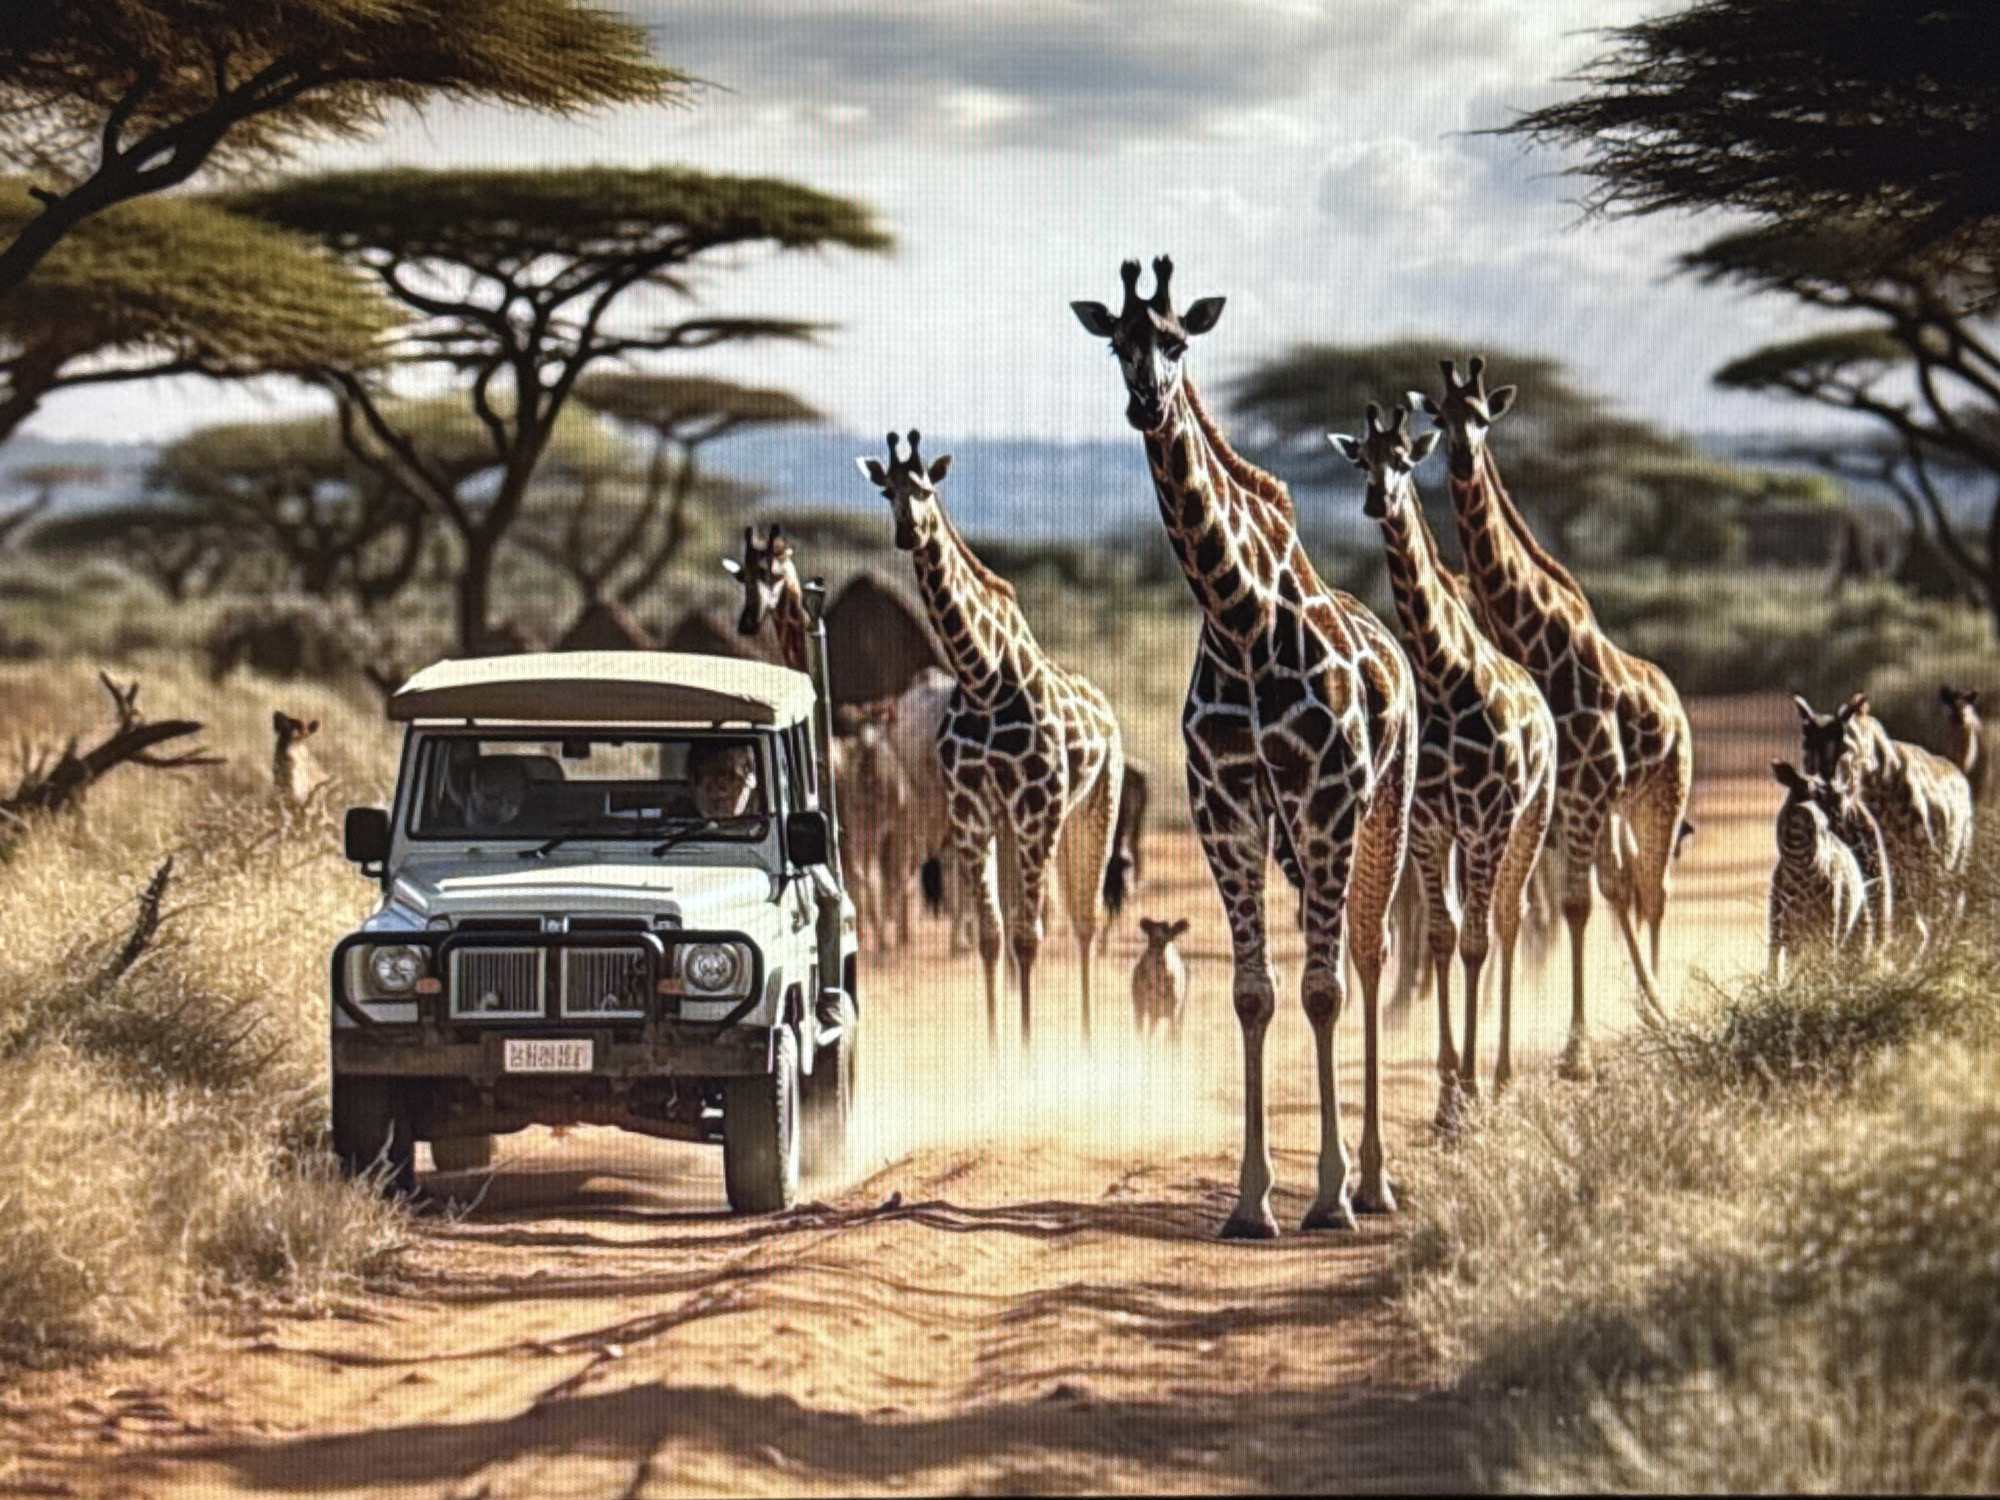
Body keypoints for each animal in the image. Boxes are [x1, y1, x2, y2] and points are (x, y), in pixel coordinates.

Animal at [857, 431, 1125, 1046]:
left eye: (927, 489)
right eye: (886, 491)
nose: (908, 533)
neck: (982, 676)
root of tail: (1109, 714)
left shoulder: (1037, 810)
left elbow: (1028, 935)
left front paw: (1025, 1052)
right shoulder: (975, 809)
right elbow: (991, 936)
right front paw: (997, 1050)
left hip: (1094, 806)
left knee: (1086, 919)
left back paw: (1088, 1042)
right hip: (1012, 825)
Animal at [1075, 257, 1417, 1235]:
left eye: (1178, 340)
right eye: (1118, 343)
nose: (1148, 403)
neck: (1238, 614)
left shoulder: (1325, 800)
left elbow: (1322, 988)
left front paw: (1328, 1198)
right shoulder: (1226, 809)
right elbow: (1254, 993)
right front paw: (1251, 1201)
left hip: (1384, 808)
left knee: (1367, 954)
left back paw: (1373, 1184)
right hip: (1302, 839)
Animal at [1332, 403, 1557, 1123]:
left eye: (1405, 458)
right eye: (1361, 459)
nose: (1377, 500)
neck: (1442, 673)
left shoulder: (1486, 822)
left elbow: (1476, 939)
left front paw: (1471, 1093)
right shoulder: (1433, 826)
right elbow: (1442, 934)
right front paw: (1446, 1095)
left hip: (1530, 818)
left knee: (1511, 920)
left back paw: (1505, 1074)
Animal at [1414, 357, 1693, 1078]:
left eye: (1484, 417)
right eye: (1441, 419)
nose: (1461, 458)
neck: (1532, 639)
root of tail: (1677, 703)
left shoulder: (1582, 792)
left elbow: (1573, 904)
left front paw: (1576, 1052)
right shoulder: (1569, 798)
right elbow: (1559, 903)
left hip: (1662, 792)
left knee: (1653, 888)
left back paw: (1659, 1005)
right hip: (1615, 806)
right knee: (1624, 884)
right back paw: (1643, 1007)